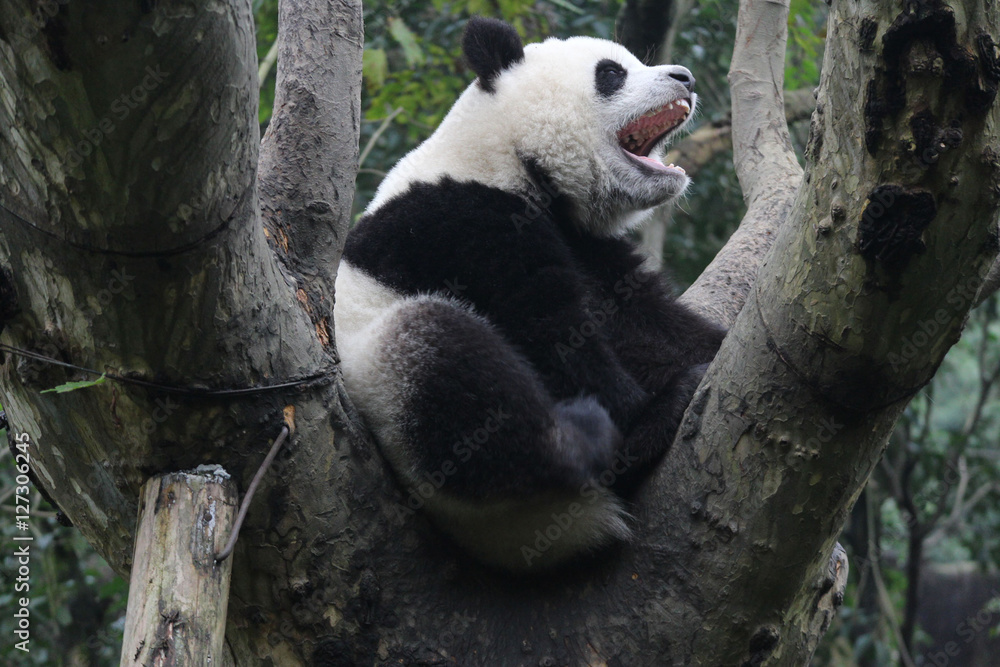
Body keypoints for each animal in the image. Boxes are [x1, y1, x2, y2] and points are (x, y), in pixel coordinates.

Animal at [335, 17, 725, 571]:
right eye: (612, 73)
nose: (685, 77)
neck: (508, 156)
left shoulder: (588, 244)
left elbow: (643, 321)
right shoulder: (458, 222)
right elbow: (550, 332)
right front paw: (649, 405)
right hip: (386, 384)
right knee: (452, 369)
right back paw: (602, 437)